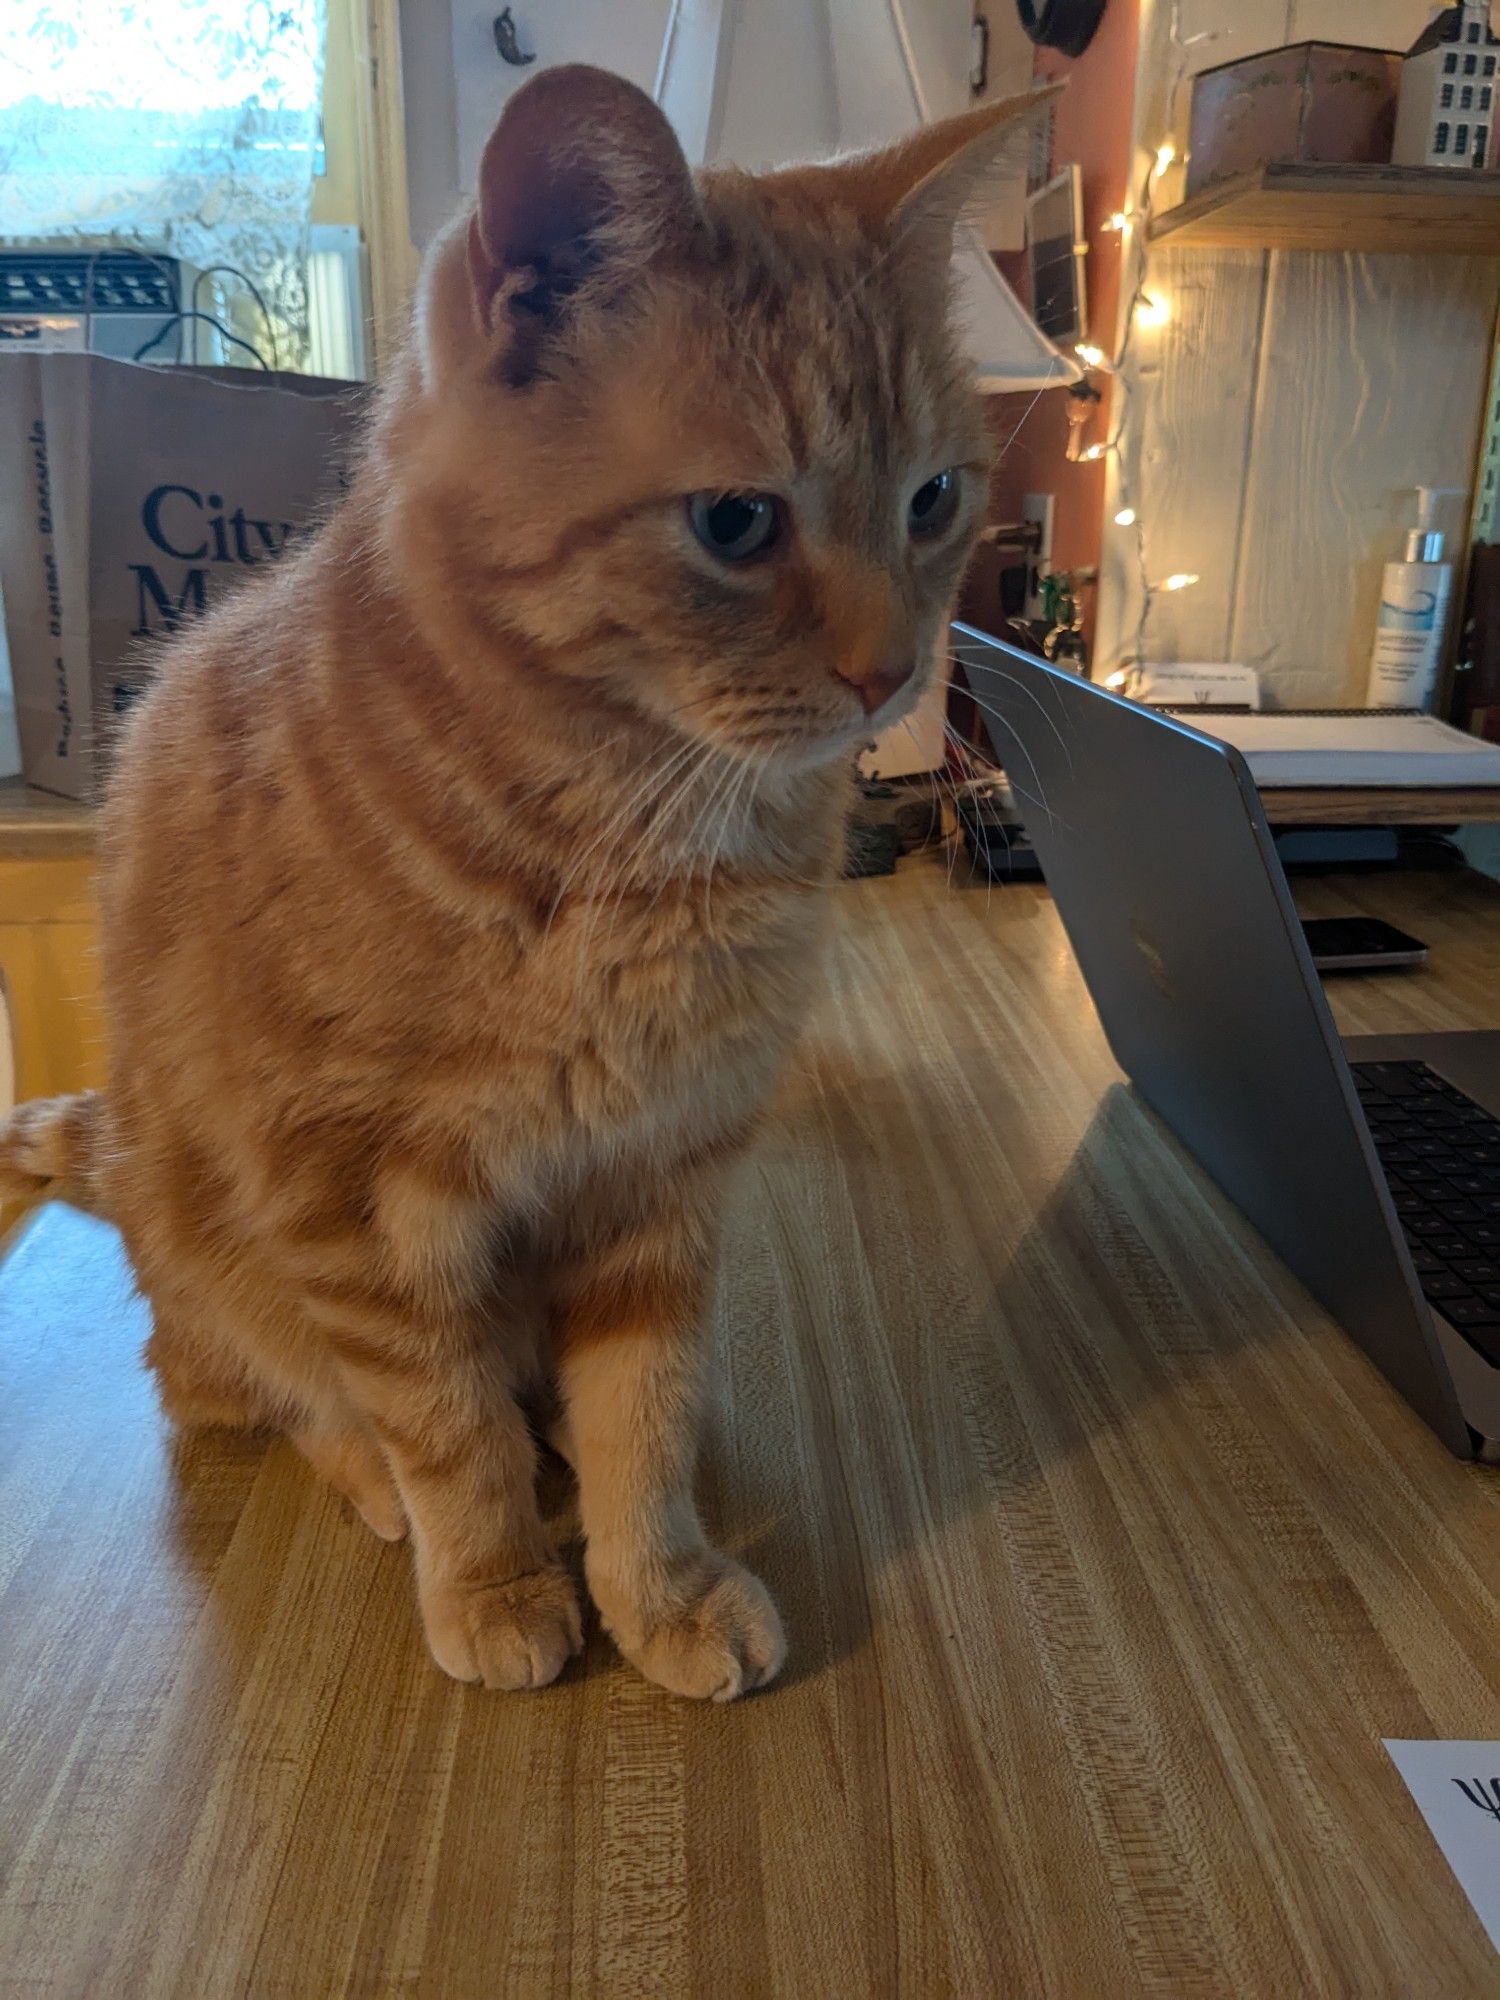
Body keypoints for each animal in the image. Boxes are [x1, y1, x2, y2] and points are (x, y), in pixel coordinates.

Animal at [2, 70, 1048, 1696]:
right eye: (736, 522)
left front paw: (660, 1578)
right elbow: (441, 1422)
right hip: (212, 1255)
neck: (635, 834)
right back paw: (374, 1482)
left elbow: (643, 1408)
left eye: (933, 498)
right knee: (247, 1387)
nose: (893, 676)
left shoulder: (662, 1171)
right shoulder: (354, 1204)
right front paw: (492, 1574)